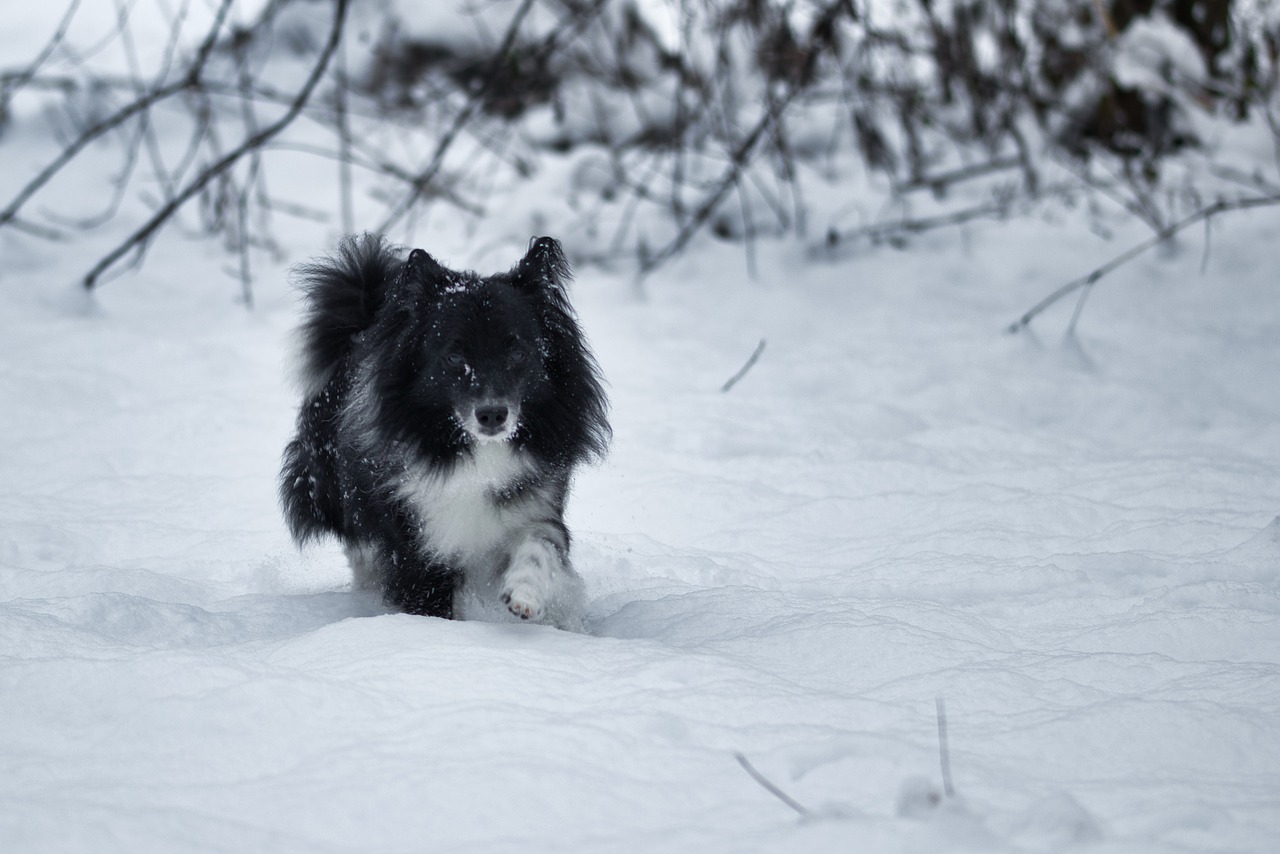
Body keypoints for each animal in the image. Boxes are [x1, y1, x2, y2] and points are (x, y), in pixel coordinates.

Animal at [282, 236, 611, 632]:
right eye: (454, 357)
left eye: (517, 352)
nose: (492, 414)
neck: (475, 451)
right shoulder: (420, 541)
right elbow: (427, 597)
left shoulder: (535, 502)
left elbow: (541, 544)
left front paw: (525, 596)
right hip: (332, 486)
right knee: (359, 543)